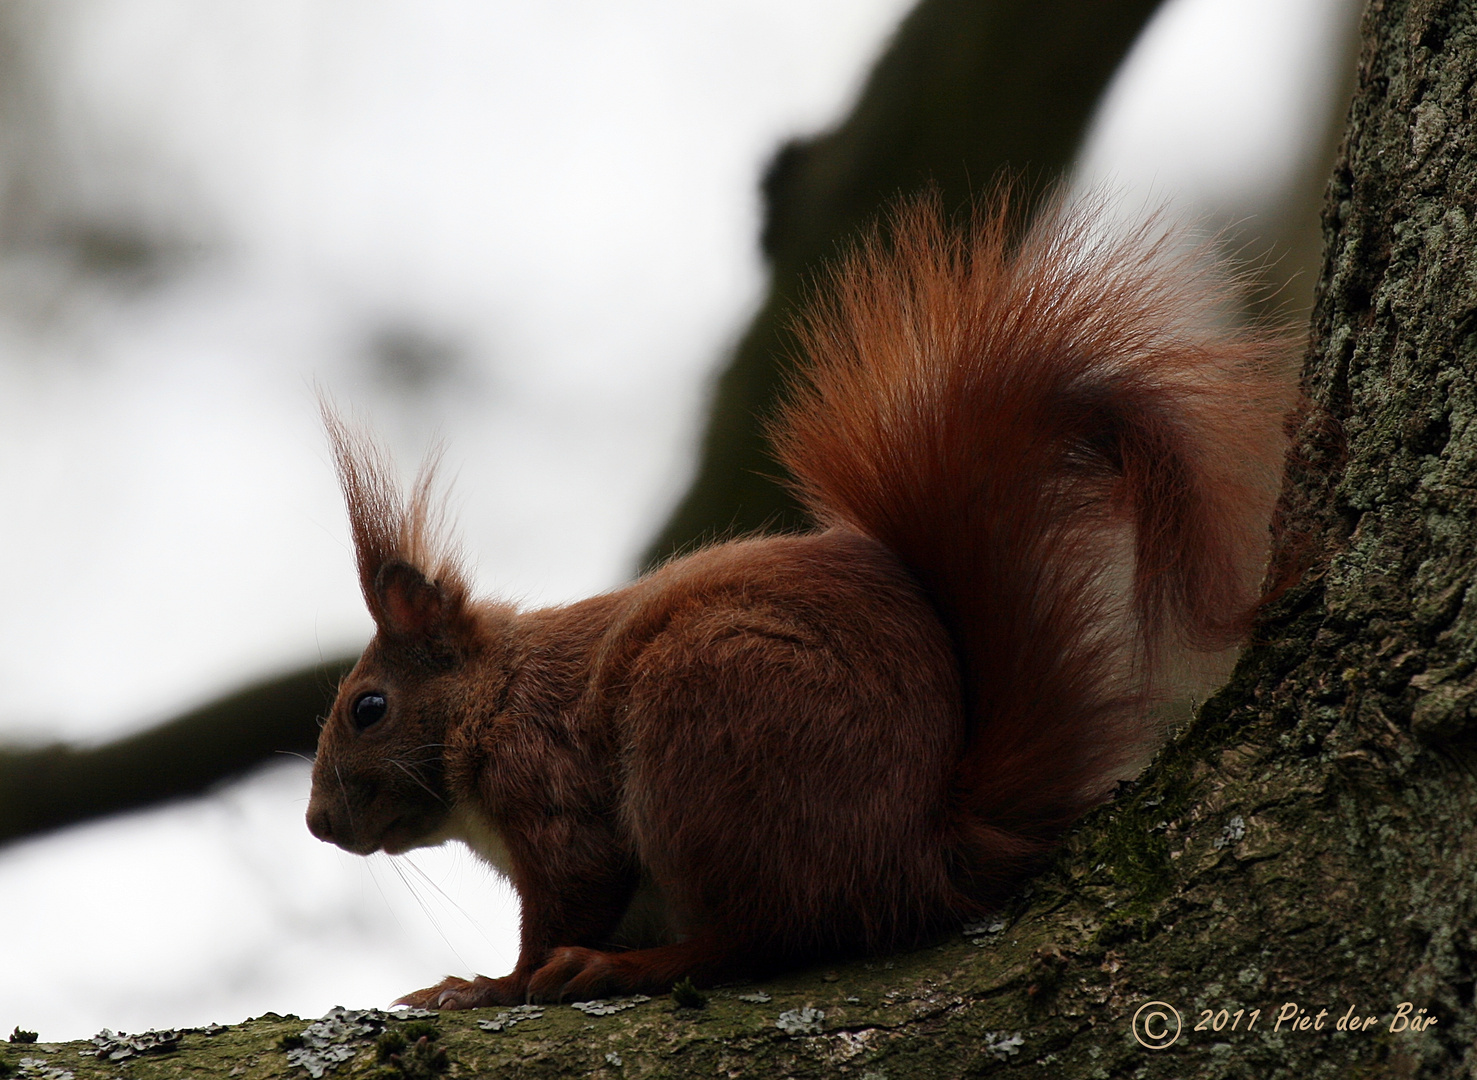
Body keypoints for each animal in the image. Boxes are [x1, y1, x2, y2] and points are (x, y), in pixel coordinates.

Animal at [308, 192, 1293, 1004]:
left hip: (708, 729)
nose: (317, 824)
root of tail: (924, 850)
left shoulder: (549, 784)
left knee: (758, 936)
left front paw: (485, 987)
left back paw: (625, 968)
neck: (494, 693)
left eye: (368, 707)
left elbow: (567, 898)